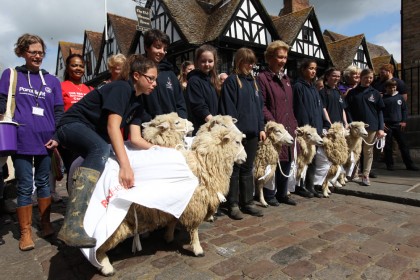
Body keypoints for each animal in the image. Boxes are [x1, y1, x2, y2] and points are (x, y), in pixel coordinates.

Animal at [95, 124, 246, 276]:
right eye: (237, 142)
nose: (245, 159)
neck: (203, 164)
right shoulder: (194, 203)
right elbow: (194, 228)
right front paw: (197, 249)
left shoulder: (180, 203)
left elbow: (173, 219)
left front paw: (168, 237)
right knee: (99, 245)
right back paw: (106, 267)